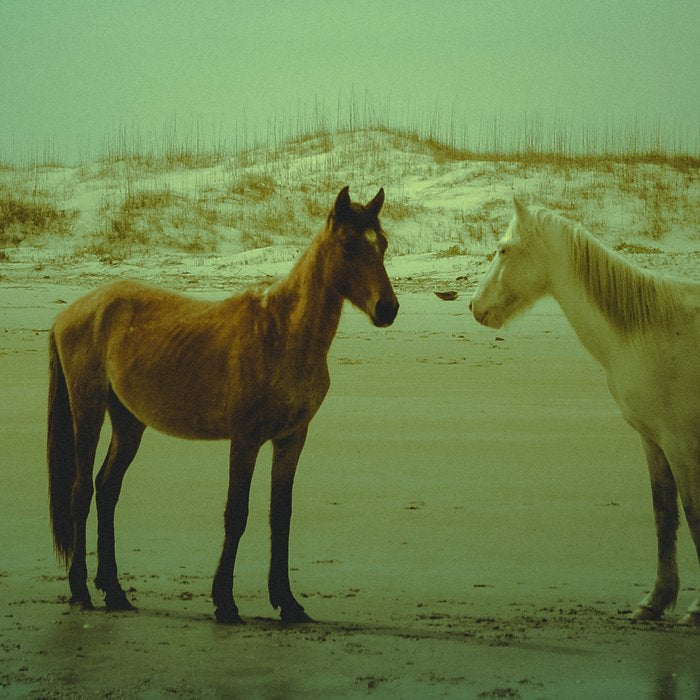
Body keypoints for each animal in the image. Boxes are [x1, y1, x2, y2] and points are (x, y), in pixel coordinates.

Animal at [47, 186, 399, 624]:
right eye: (349, 245)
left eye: (382, 244)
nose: (387, 309)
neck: (283, 334)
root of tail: (73, 311)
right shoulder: (245, 440)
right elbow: (237, 513)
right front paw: (225, 602)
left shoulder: (291, 439)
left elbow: (280, 516)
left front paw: (288, 602)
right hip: (88, 408)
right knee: (81, 492)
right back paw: (80, 590)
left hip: (128, 422)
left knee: (107, 489)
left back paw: (114, 591)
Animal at [470, 199, 700, 625]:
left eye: (504, 250)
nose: (475, 306)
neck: (654, 330)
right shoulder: (654, 441)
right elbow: (664, 515)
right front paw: (655, 600)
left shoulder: (682, 445)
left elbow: (694, 516)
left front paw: (696, 609)